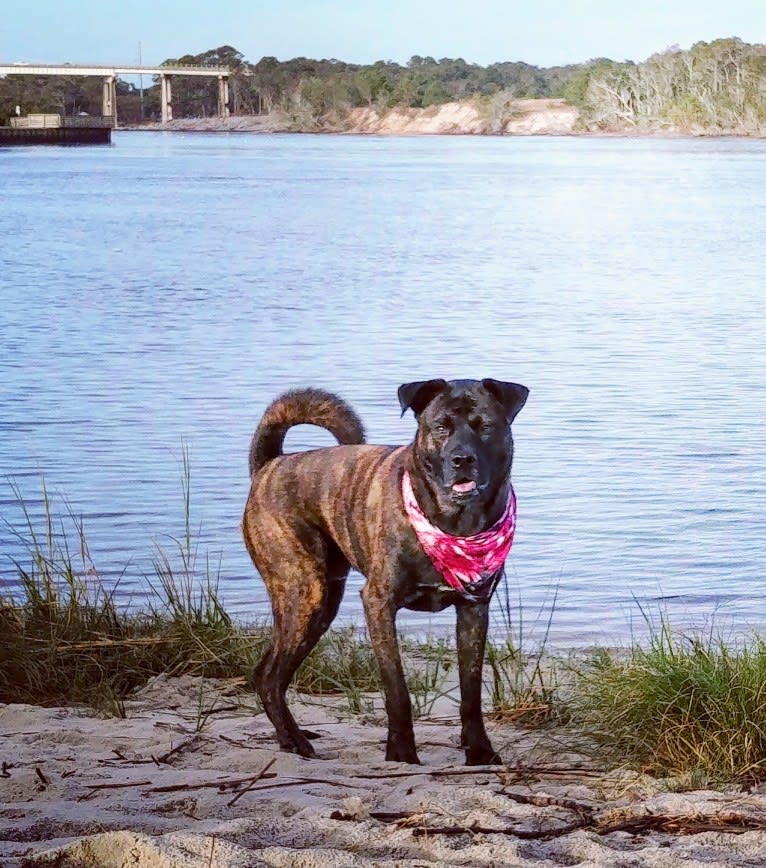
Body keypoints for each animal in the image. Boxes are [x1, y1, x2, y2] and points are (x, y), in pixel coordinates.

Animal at [243, 380, 532, 768]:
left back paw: (292, 737)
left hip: (321, 603)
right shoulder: (379, 604)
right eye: (440, 427)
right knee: (270, 676)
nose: (462, 459)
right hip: (305, 594)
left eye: (485, 426)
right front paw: (401, 753)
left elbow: (471, 692)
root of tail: (270, 465)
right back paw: (295, 743)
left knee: (269, 674)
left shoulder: (474, 609)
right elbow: (397, 688)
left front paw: (479, 751)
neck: (453, 523)